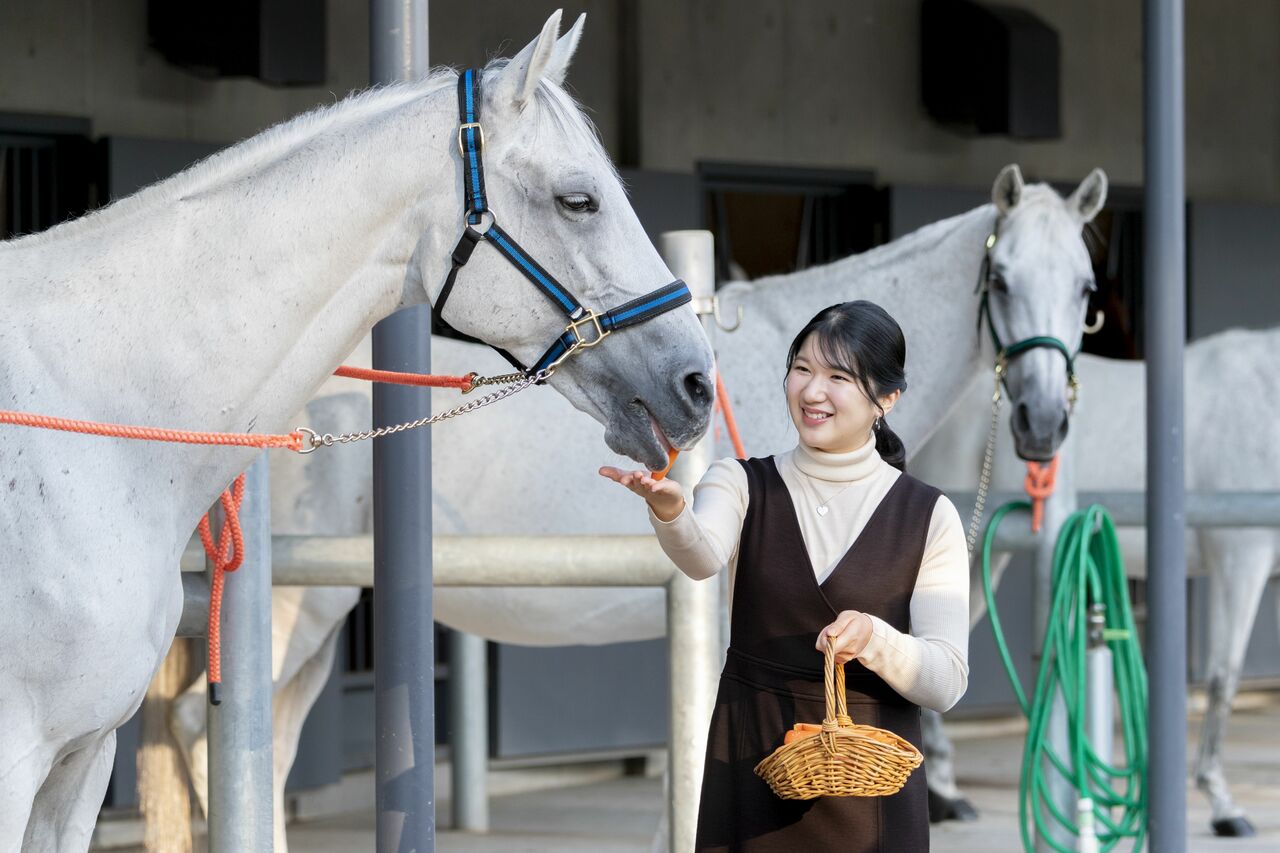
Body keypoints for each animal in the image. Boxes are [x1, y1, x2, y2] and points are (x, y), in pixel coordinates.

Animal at [154, 166, 1105, 845]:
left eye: (1089, 289)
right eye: (1003, 277)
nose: (1044, 421)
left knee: (263, 746)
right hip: (298, 604)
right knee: (210, 734)